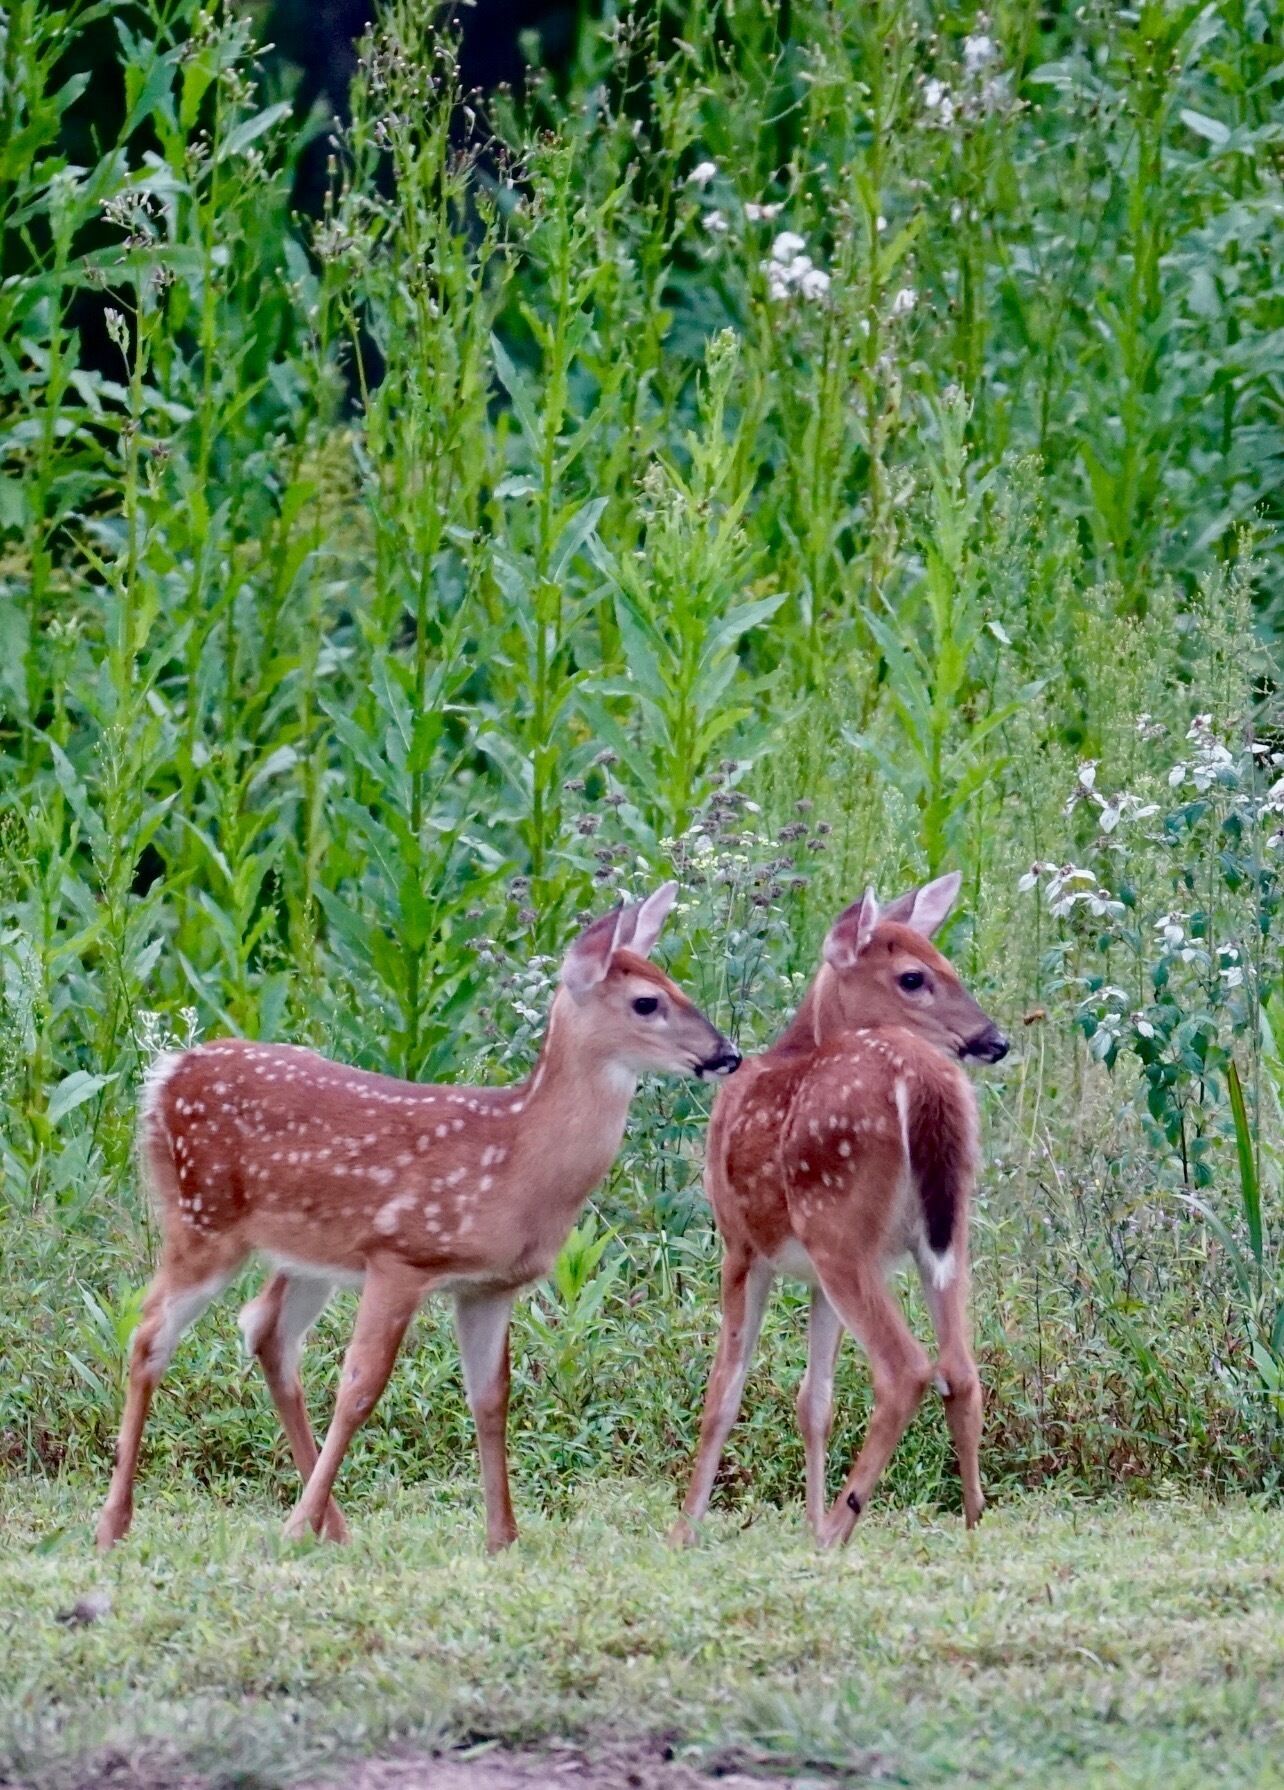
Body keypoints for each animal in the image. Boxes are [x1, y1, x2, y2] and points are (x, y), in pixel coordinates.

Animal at [96, 883, 741, 1554]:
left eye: (677, 985)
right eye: (647, 1002)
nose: (727, 1054)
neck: (515, 1159)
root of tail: (164, 1077)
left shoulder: (488, 1286)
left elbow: (491, 1398)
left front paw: (502, 1538)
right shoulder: (401, 1255)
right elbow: (360, 1387)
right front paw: (293, 1527)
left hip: (307, 1254)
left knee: (266, 1332)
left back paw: (334, 1527)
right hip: (203, 1218)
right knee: (150, 1334)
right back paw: (117, 1524)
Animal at [671, 872, 1008, 1551]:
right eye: (916, 976)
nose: (996, 1040)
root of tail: (924, 1084)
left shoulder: (742, 1243)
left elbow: (724, 1392)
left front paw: (684, 1530)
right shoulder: (812, 1276)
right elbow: (815, 1401)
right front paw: (802, 1520)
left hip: (840, 1229)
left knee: (906, 1369)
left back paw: (838, 1528)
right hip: (944, 1233)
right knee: (961, 1368)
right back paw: (971, 1520)